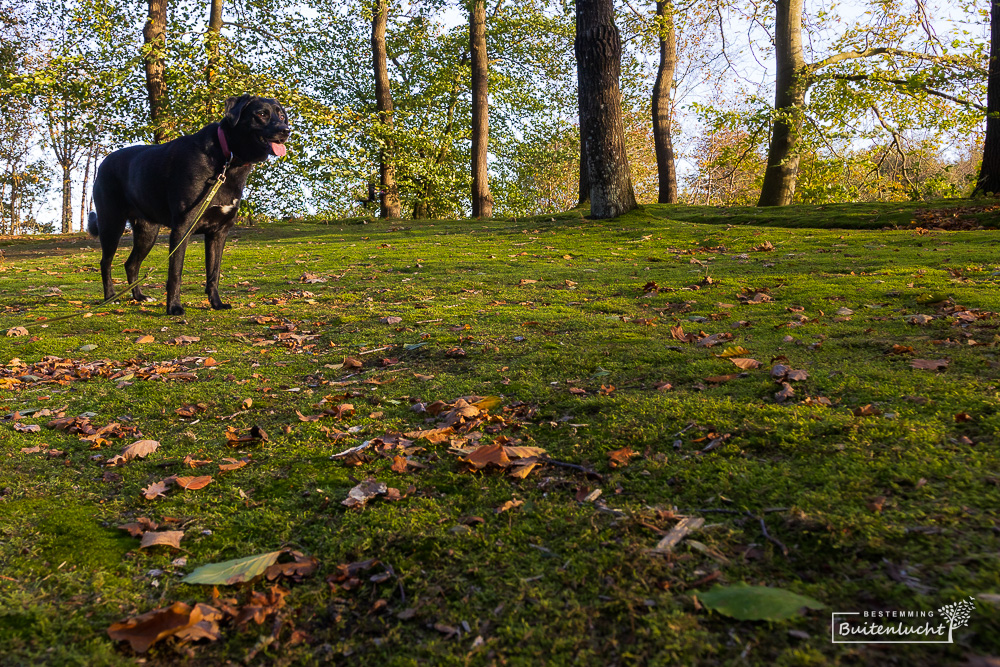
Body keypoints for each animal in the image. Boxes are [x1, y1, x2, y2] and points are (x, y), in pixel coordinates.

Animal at [88, 94, 290, 316]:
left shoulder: (218, 233)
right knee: (105, 262)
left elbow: (214, 273)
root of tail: (105, 162)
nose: (286, 130)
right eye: (261, 114)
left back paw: (139, 297)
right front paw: (174, 307)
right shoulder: (182, 228)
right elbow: (175, 273)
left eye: (281, 115)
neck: (227, 158)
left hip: (147, 232)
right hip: (111, 224)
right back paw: (110, 297)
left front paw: (216, 303)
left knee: (131, 264)